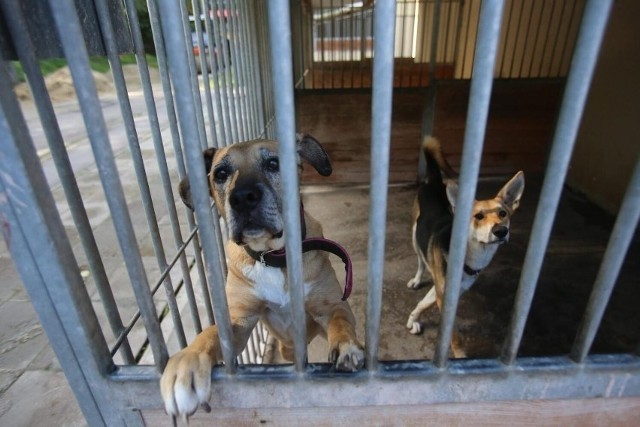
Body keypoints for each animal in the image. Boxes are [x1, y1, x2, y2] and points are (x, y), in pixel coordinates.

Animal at [160, 135, 364, 420]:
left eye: (273, 163)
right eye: (220, 174)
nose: (243, 198)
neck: (273, 256)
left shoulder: (331, 305)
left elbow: (340, 321)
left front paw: (347, 345)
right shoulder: (240, 321)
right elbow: (211, 333)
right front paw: (186, 363)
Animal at [404, 137, 524, 358]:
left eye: (503, 213)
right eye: (478, 216)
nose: (501, 231)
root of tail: (435, 181)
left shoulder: (445, 292)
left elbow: (423, 303)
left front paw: (413, 319)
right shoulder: (445, 298)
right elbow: (453, 334)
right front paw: (460, 356)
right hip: (415, 235)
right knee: (421, 261)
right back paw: (417, 279)